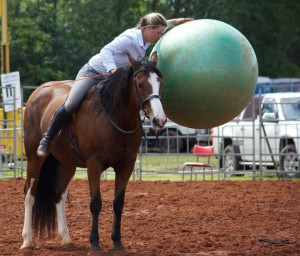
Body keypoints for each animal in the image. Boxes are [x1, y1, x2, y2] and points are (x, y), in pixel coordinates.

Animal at [20, 55, 166, 253]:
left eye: (160, 82)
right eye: (141, 84)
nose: (159, 120)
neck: (115, 117)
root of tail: (39, 92)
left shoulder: (126, 165)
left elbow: (118, 204)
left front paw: (118, 243)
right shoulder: (94, 165)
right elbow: (96, 204)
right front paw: (95, 244)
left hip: (67, 164)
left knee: (59, 195)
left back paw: (66, 239)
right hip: (34, 158)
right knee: (30, 194)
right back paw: (27, 241)